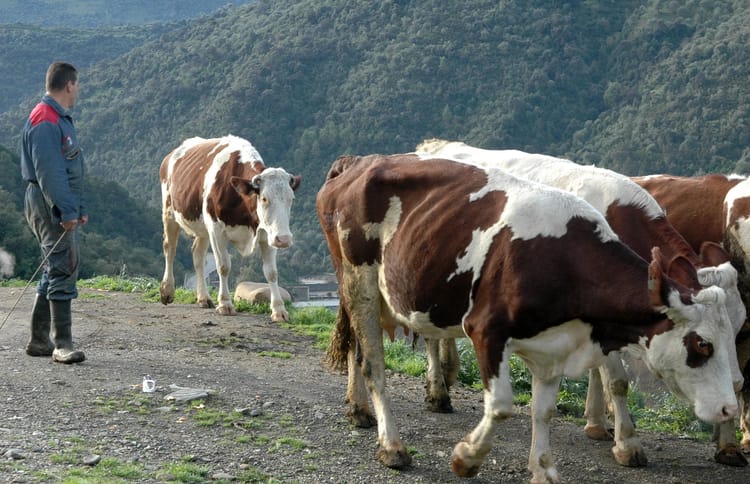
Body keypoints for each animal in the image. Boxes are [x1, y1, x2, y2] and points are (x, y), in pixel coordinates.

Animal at [159, 135, 301, 321]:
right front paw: (225, 304)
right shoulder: (216, 230)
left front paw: (278, 310)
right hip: (169, 212)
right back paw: (167, 291)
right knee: (170, 249)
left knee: (198, 255)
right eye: (264, 198)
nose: (284, 240)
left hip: (203, 227)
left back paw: (203, 297)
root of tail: (171, 155)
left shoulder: (267, 234)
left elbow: (271, 272)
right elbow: (224, 266)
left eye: (291, 199)